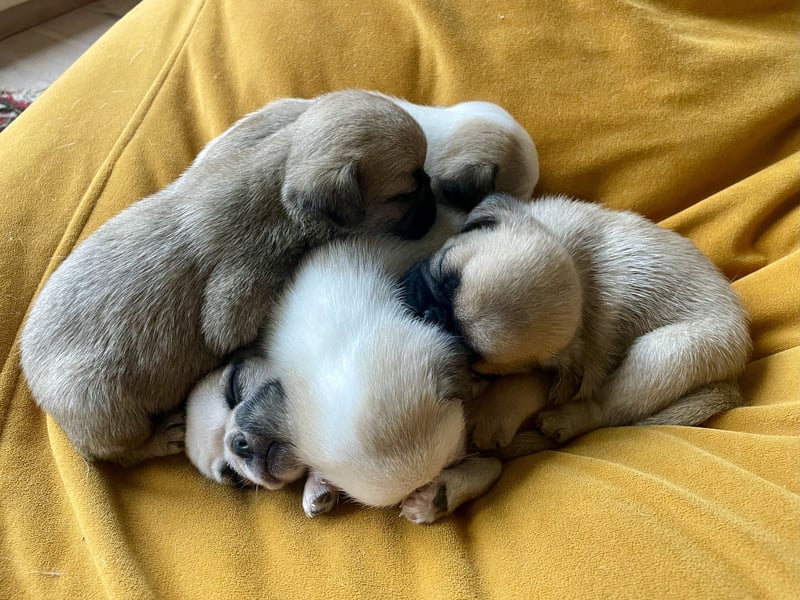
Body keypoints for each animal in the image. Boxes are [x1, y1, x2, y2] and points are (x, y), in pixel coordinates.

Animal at [20, 89, 438, 466]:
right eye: (407, 191)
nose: (436, 193)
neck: (278, 180)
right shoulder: (235, 302)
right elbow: (231, 327)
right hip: (103, 405)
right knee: (120, 452)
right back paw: (159, 438)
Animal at [404, 192, 752, 450]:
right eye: (446, 278)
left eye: (475, 358)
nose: (431, 315)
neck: (570, 254)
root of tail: (735, 375)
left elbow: (522, 384)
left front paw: (491, 412)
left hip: (665, 354)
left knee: (609, 409)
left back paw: (567, 420)